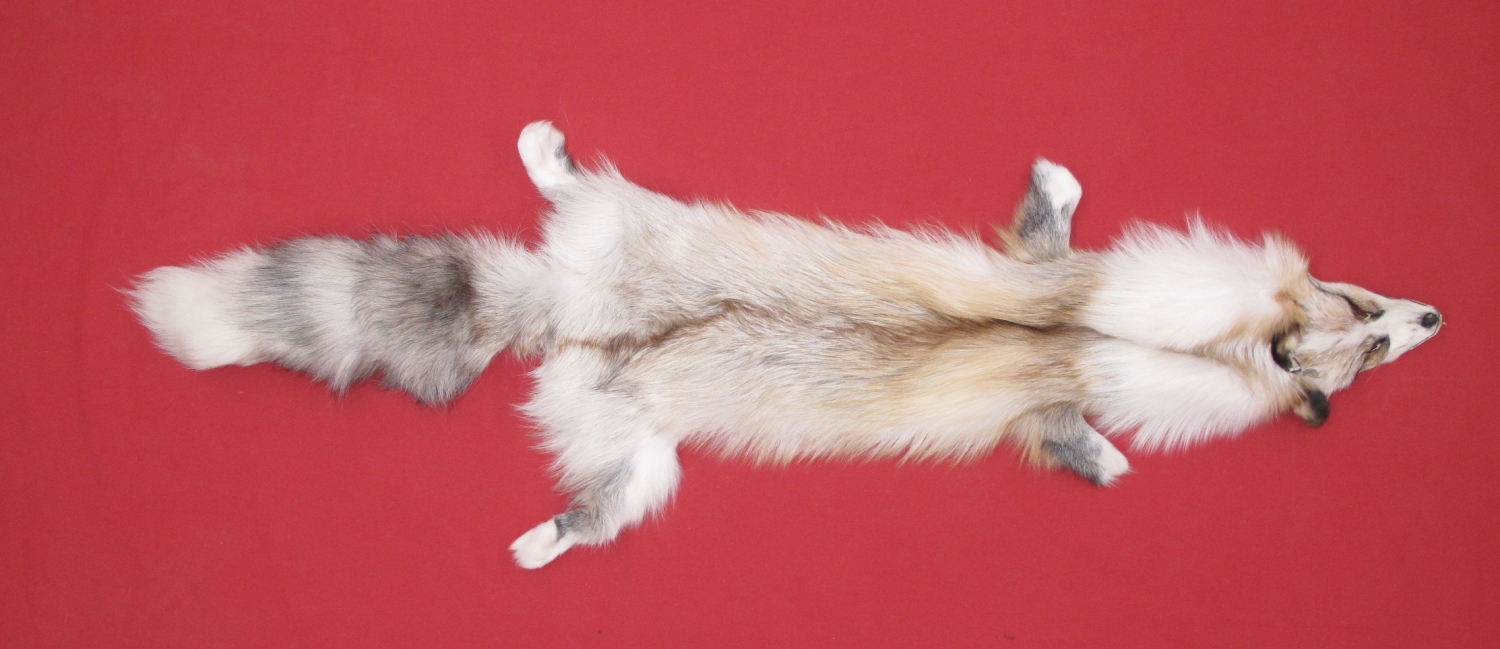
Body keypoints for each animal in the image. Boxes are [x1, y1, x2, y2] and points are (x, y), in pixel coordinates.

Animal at [130, 122, 1442, 568]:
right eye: (1363, 317)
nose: (1435, 317)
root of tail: (570, 318)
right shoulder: (1054, 293)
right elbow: (1055, 233)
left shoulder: (1055, 334)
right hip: (646, 251)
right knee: (579, 187)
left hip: (639, 437)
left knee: (598, 494)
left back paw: (540, 537)